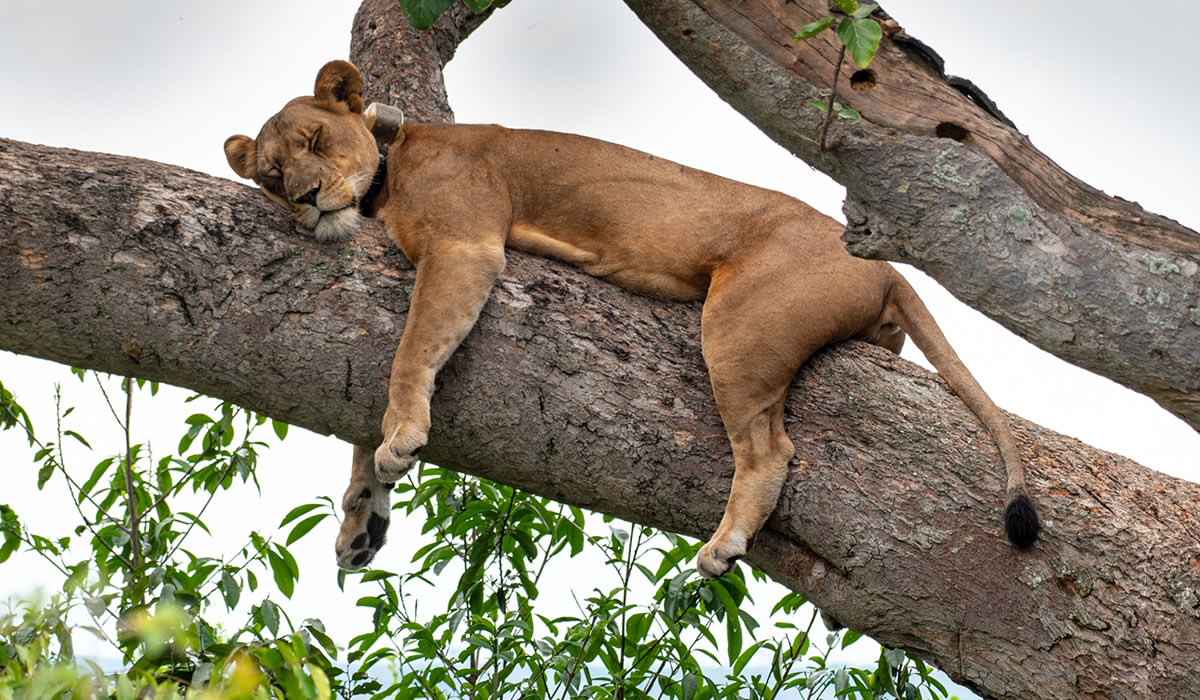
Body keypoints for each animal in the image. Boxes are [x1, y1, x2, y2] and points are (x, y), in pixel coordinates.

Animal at [224, 60, 1040, 577]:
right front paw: (362, 520)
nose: (305, 198)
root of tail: (885, 264)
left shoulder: (466, 245)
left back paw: (722, 547)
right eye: (270, 175)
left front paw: (400, 437)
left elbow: (408, 352)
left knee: (770, 451)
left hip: (737, 324)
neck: (392, 163)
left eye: (314, 142)